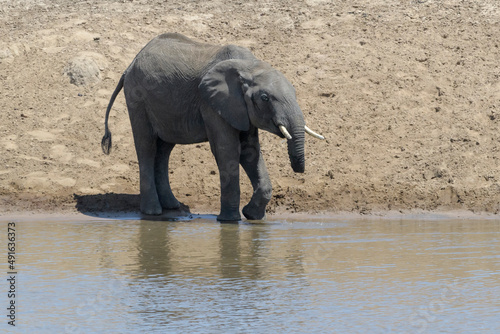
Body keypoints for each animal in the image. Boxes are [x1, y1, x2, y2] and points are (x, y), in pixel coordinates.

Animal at [101, 33, 324, 222]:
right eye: (265, 98)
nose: (299, 170)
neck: (249, 67)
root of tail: (129, 66)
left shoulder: (240, 109)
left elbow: (251, 152)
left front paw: (252, 216)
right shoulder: (212, 103)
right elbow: (228, 151)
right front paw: (229, 221)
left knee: (164, 149)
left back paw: (172, 206)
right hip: (137, 98)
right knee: (147, 146)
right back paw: (152, 212)